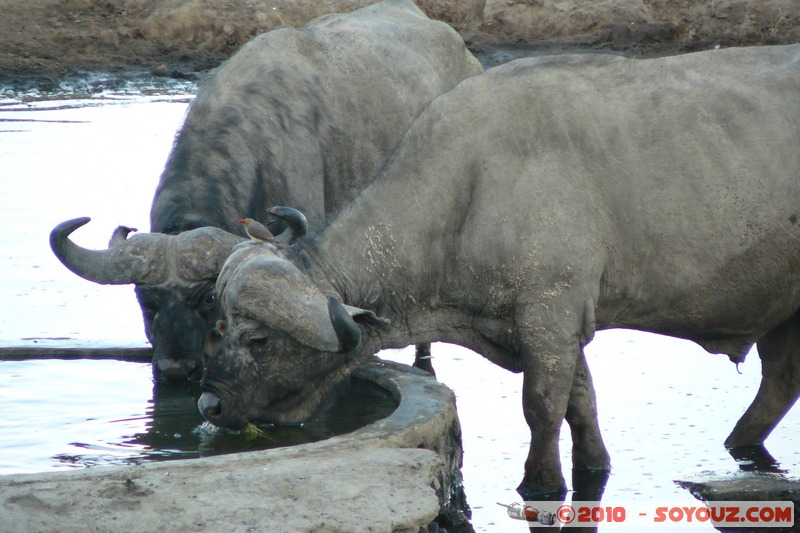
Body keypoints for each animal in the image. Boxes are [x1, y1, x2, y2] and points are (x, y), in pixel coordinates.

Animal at [197, 44, 800, 494]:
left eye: (258, 340)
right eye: (220, 324)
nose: (209, 402)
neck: (468, 190)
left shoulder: (549, 315)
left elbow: (543, 407)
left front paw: (541, 482)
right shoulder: (555, 324)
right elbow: (581, 402)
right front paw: (593, 466)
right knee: (780, 381)